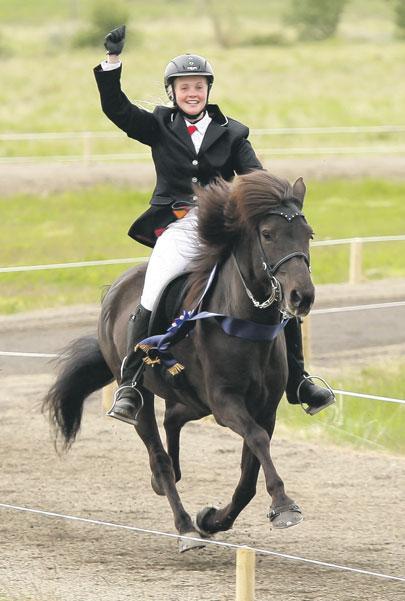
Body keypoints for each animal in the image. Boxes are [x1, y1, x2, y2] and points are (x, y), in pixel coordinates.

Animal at [44, 170, 316, 552]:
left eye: (308, 234)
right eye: (267, 234)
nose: (302, 296)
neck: (245, 323)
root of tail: (116, 288)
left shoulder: (265, 408)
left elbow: (249, 475)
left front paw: (215, 519)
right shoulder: (226, 403)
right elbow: (258, 440)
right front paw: (284, 506)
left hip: (193, 400)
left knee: (173, 421)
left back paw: (182, 499)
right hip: (145, 397)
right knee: (157, 454)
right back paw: (185, 526)